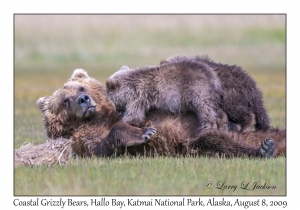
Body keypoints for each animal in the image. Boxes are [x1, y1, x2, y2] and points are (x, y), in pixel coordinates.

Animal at [36, 69, 284, 158]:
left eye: (81, 88)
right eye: (65, 100)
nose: (83, 100)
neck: (100, 117)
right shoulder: (82, 138)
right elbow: (99, 148)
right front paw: (144, 133)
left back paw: (266, 145)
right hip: (192, 144)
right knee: (216, 141)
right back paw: (264, 149)